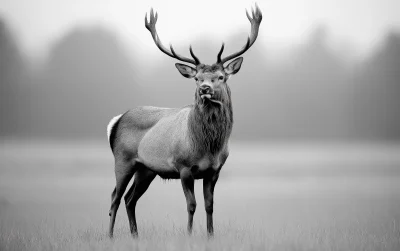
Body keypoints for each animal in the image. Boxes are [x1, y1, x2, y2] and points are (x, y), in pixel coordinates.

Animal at [107, 4, 262, 239]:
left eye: (220, 77)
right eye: (197, 78)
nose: (204, 89)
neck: (208, 146)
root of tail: (116, 121)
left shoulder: (214, 171)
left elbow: (209, 205)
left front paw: (210, 236)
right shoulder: (184, 167)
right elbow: (191, 205)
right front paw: (188, 235)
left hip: (146, 169)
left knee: (129, 199)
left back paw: (135, 235)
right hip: (123, 159)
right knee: (115, 197)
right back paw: (109, 235)